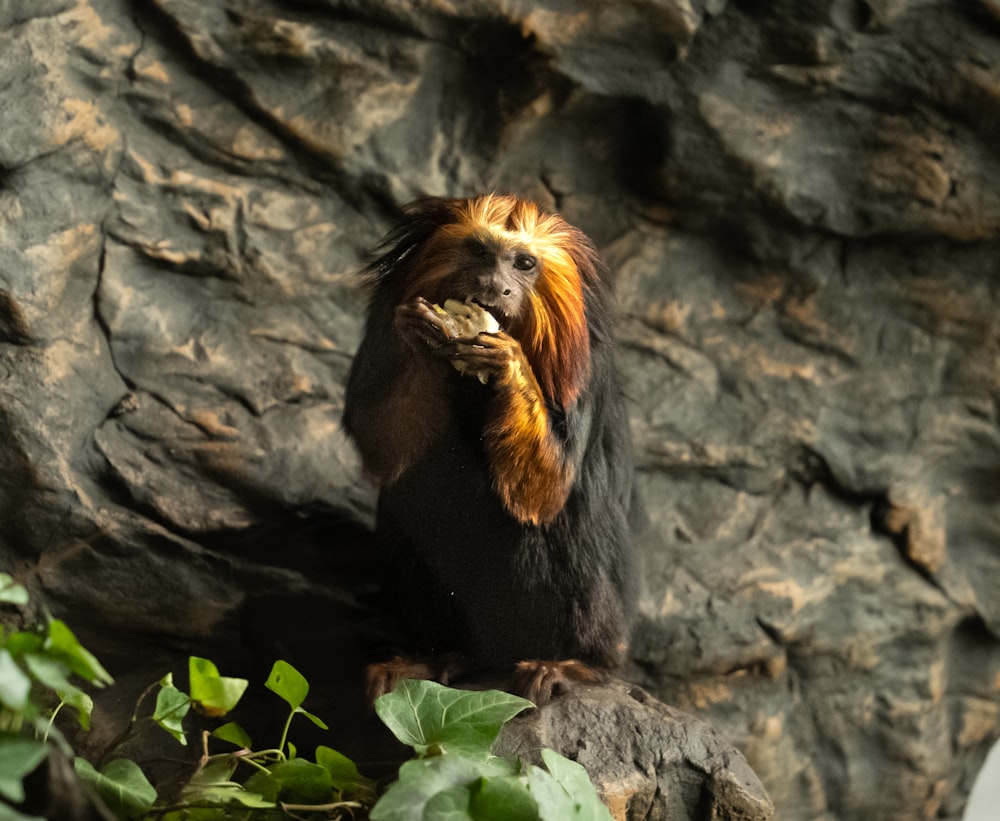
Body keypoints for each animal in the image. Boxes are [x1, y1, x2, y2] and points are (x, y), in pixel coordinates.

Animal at [344, 192, 640, 704]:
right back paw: (441, 655)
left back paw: (579, 664)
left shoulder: (585, 366)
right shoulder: (381, 329)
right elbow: (380, 445)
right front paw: (425, 336)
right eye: (480, 252)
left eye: (523, 263)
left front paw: (507, 363)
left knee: (565, 526)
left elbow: (549, 491)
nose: (493, 286)